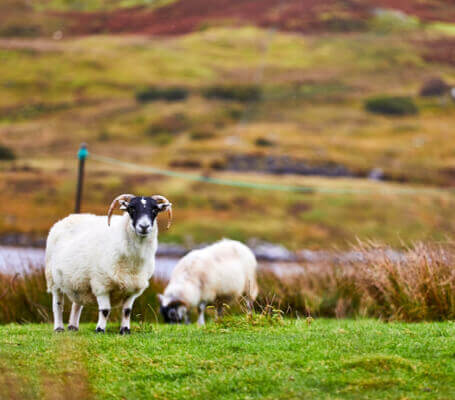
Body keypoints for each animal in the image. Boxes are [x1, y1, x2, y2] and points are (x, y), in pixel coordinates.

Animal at [45, 194, 173, 334]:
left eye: (155, 210)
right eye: (131, 208)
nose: (144, 226)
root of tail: (67, 218)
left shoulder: (133, 287)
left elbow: (127, 311)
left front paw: (125, 330)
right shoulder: (101, 284)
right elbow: (105, 311)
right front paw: (100, 329)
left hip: (79, 282)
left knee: (77, 304)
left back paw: (73, 327)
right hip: (53, 279)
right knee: (58, 305)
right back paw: (59, 328)